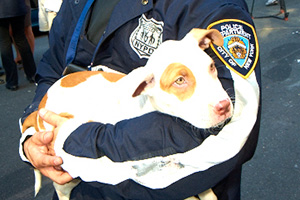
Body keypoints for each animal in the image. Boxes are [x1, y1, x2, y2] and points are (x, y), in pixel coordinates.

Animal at [21, 28, 232, 200]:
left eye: (211, 67)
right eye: (179, 80)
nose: (224, 105)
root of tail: (42, 103)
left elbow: (204, 190)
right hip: (65, 177)